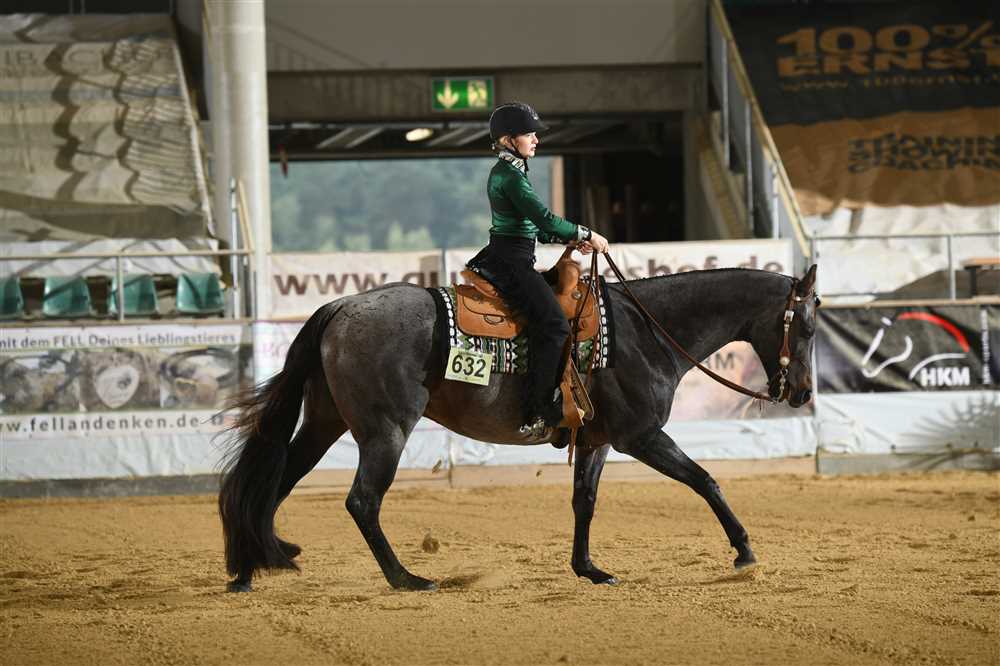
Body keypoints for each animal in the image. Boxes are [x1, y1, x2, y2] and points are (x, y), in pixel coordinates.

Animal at [219, 262, 819, 592]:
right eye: (809, 326)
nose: (803, 394)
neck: (643, 332)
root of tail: (340, 307)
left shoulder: (598, 440)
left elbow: (585, 502)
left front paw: (589, 569)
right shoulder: (642, 437)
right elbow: (705, 480)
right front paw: (744, 552)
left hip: (324, 423)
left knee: (274, 483)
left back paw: (251, 568)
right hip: (385, 430)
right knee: (362, 501)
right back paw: (407, 579)